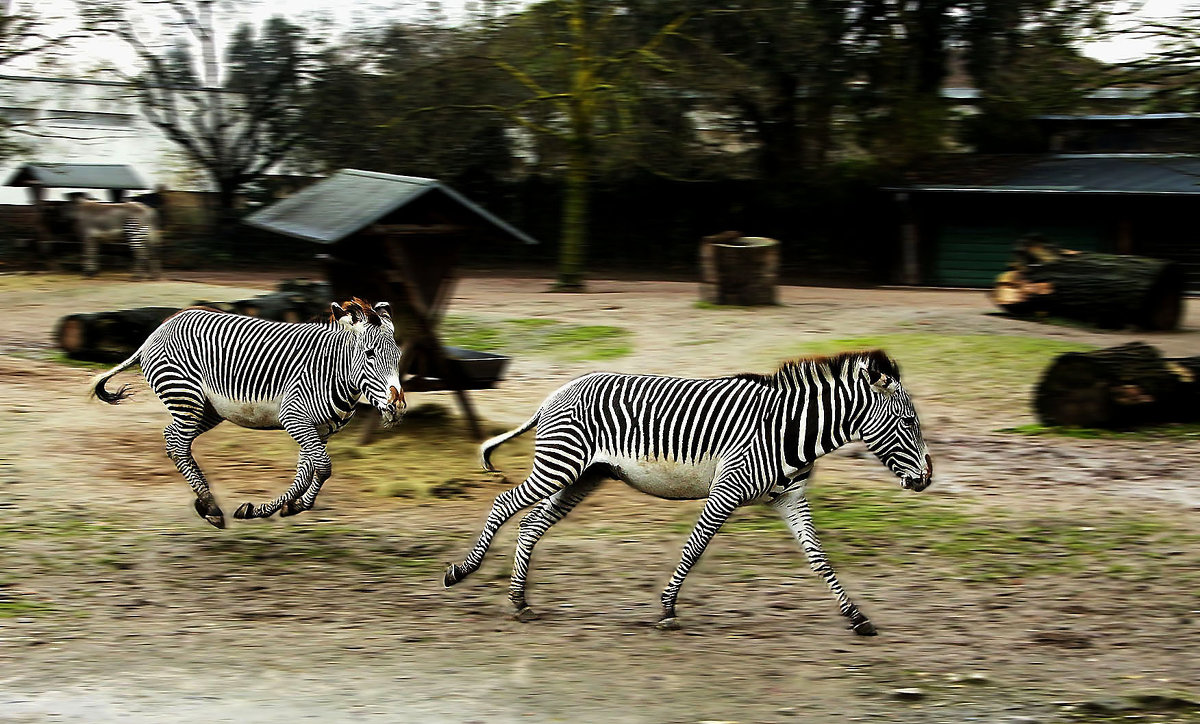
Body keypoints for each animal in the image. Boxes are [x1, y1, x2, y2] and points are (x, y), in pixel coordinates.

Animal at [88, 297, 405, 530]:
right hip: (186, 398)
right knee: (178, 445)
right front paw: (278, 508)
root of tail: (163, 326)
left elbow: (308, 472)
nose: (397, 407)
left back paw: (204, 503)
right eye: (370, 354)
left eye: (398, 357)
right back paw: (211, 507)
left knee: (172, 439)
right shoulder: (295, 418)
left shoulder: (319, 430)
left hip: (207, 410)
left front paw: (281, 507)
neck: (334, 371)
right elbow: (323, 468)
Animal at [446, 352, 931, 638]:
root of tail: (558, 391)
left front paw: (857, 618)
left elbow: (819, 559)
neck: (791, 430)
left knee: (531, 523)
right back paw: (462, 572)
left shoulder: (790, 498)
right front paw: (667, 609)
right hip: (559, 466)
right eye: (908, 423)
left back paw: (520, 601)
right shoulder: (727, 489)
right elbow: (694, 549)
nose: (927, 478)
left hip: (583, 476)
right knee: (504, 504)